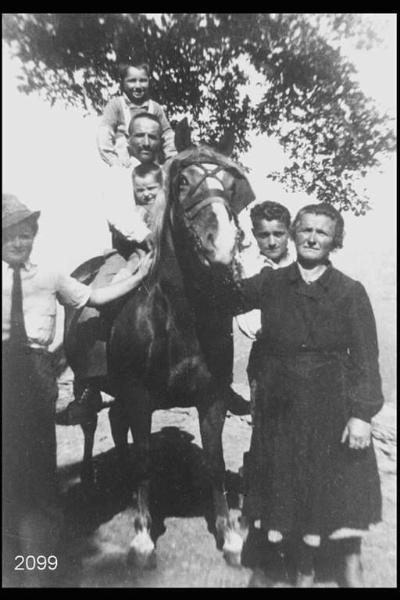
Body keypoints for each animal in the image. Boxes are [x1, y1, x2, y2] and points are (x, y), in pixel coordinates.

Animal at [64, 131, 255, 568]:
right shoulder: (139, 397)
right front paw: (142, 538)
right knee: (92, 422)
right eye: (183, 182)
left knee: (115, 423)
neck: (179, 320)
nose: (223, 246)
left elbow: (215, 463)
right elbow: (145, 462)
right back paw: (88, 478)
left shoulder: (212, 399)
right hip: (90, 385)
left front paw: (230, 537)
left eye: (230, 185)